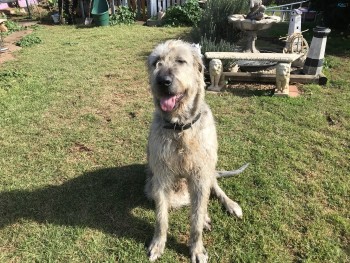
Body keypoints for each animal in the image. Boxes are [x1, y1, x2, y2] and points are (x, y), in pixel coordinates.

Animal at [146, 39, 247, 263]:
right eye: (156, 62)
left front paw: (197, 248)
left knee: (213, 192)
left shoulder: (201, 175)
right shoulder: (161, 179)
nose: (163, 81)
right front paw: (158, 243)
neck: (180, 128)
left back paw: (229, 205)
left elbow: (197, 218)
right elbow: (161, 217)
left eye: (180, 61)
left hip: (208, 173)